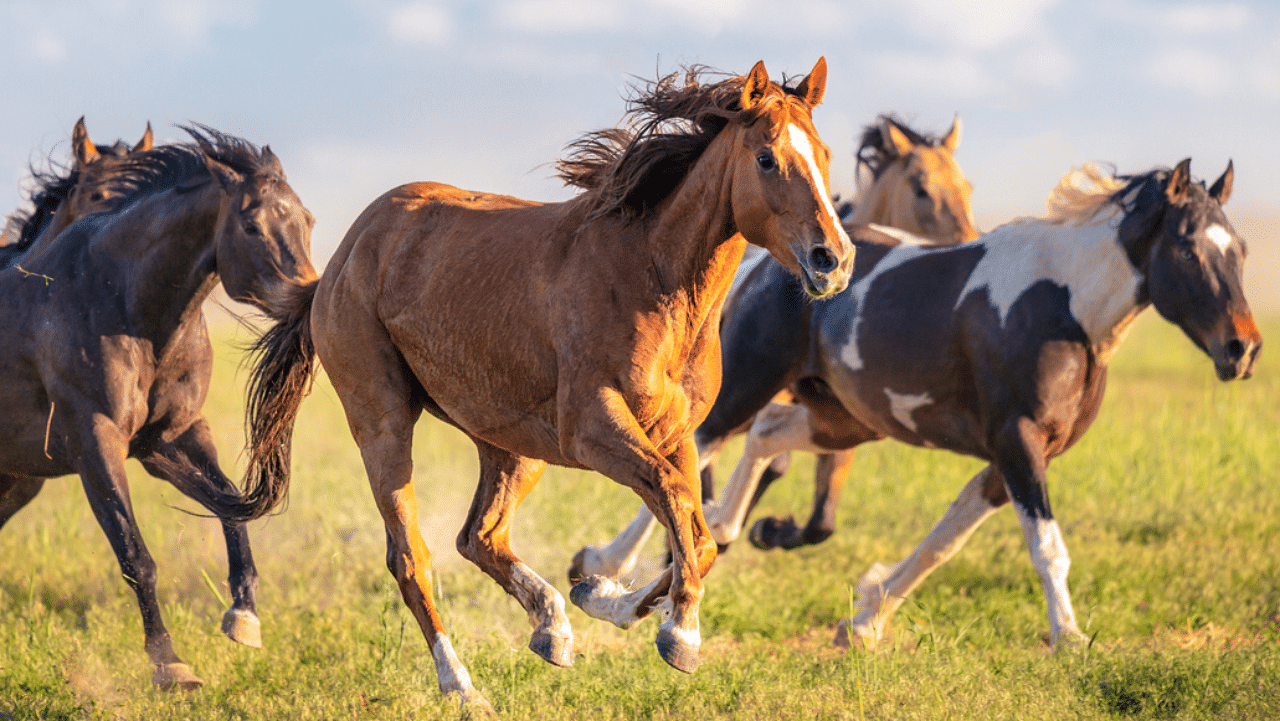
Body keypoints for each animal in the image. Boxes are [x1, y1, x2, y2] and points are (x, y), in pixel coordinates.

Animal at [216, 57, 855, 712]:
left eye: (825, 153)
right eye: (766, 158)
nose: (832, 259)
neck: (653, 282)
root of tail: (342, 259)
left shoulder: (674, 432)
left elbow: (694, 532)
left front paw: (602, 595)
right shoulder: (593, 429)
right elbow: (677, 501)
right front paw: (679, 635)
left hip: (511, 444)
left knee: (479, 536)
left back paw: (553, 627)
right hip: (383, 423)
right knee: (411, 558)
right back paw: (462, 686)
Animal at [576, 115, 983, 583]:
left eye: (966, 186)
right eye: (921, 189)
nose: (970, 242)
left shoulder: (836, 415)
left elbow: (819, 517)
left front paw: (767, 530)